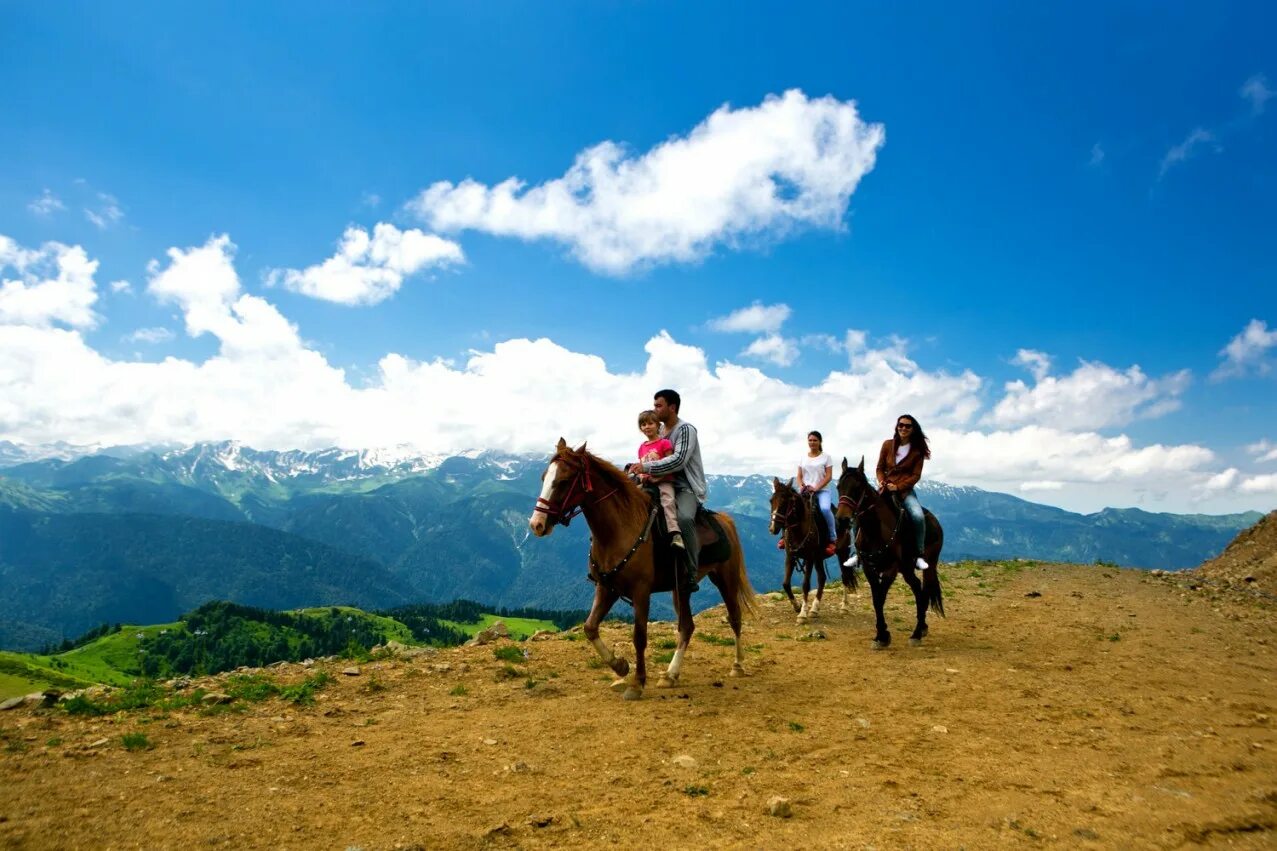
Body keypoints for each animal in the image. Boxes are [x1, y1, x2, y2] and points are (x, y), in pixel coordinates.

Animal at [528, 437, 755, 695]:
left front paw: (637, 683)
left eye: (563, 481)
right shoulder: (606, 588)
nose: (536, 524)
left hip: (725, 578)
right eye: (544, 477)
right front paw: (619, 666)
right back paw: (670, 674)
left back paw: (737, 665)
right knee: (687, 627)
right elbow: (590, 627)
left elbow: (639, 636)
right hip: (681, 589)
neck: (619, 529)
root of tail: (725, 520)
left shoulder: (641, 591)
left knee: (734, 617)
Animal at [766, 477, 858, 623]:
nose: (773, 528)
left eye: (785, 502)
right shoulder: (790, 557)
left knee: (844, 576)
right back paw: (814, 609)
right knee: (822, 578)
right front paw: (797, 606)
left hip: (842, 553)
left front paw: (802, 614)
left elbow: (805, 585)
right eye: (771, 500)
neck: (798, 529)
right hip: (819, 558)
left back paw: (844, 606)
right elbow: (786, 583)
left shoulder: (809, 558)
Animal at [832, 457, 944, 644]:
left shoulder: (891, 569)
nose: (842, 519)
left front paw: (883, 636)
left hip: (927, 564)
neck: (875, 530)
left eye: (858, 487)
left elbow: (880, 598)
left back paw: (917, 632)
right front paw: (881, 633)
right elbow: (876, 600)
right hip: (906, 568)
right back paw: (920, 629)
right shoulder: (870, 568)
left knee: (925, 590)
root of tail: (936, 523)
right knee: (917, 588)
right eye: (838, 486)